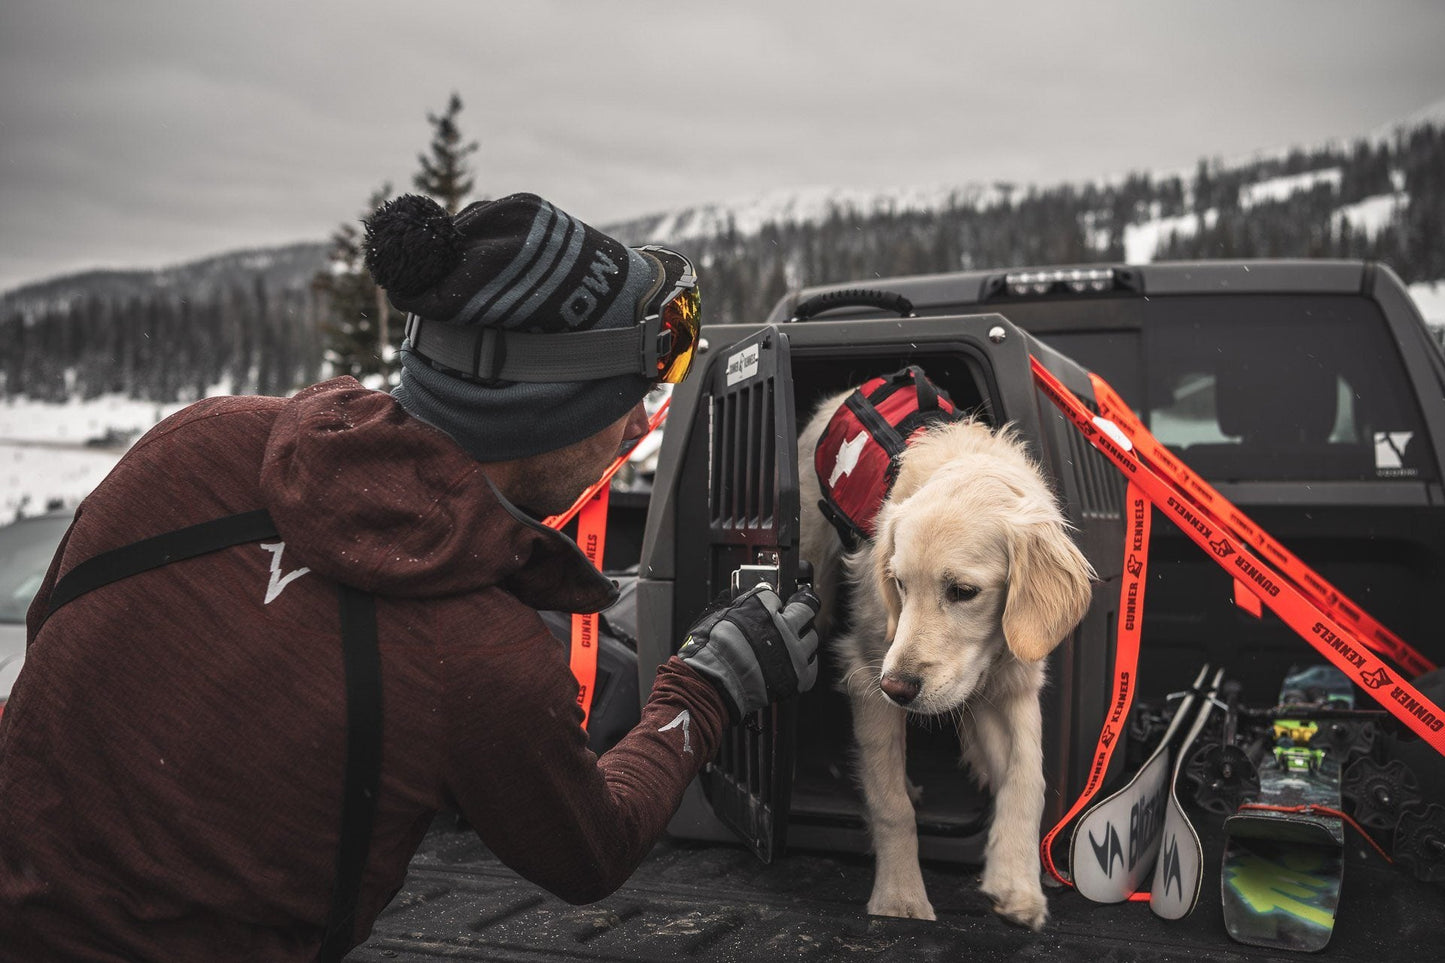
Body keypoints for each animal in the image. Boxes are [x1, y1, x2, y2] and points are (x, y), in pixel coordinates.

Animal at [797, 387, 1086, 925]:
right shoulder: (867, 671)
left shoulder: (1015, 681)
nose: (898, 688)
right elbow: (891, 804)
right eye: (899, 584)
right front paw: (900, 897)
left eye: (963, 591)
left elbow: (1028, 777)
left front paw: (1016, 882)